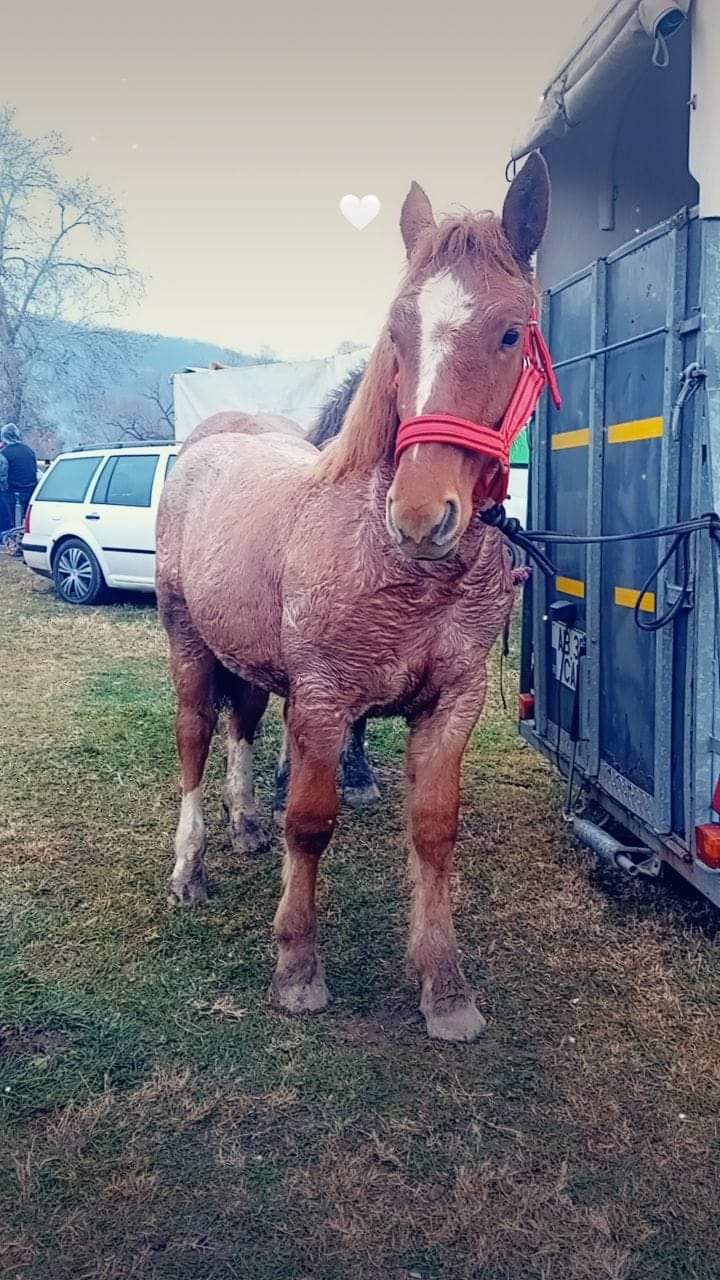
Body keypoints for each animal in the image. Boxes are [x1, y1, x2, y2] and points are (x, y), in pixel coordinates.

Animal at [155, 157, 548, 1039]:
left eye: (512, 332)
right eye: (397, 333)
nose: (422, 516)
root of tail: (211, 443)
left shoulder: (452, 704)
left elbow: (434, 832)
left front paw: (446, 988)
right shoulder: (326, 701)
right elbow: (311, 824)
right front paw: (297, 968)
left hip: (250, 657)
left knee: (240, 725)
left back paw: (244, 825)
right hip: (187, 644)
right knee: (195, 738)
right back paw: (190, 866)